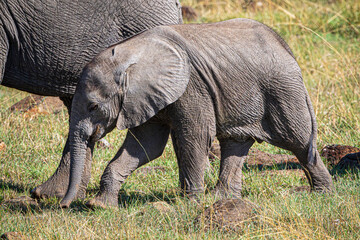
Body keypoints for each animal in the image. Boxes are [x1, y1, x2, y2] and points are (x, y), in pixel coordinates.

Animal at [60, 18, 334, 207]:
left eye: (94, 106)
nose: (64, 205)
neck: (129, 53)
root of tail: (286, 48)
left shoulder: (191, 87)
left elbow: (195, 137)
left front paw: (189, 204)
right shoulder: (146, 97)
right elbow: (146, 146)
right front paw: (99, 205)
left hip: (283, 92)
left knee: (298, 140)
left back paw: (323, 194)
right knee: (236, 143)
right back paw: (222, 198)